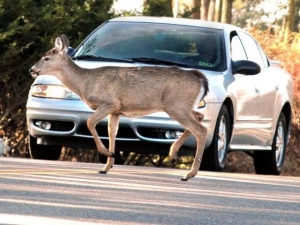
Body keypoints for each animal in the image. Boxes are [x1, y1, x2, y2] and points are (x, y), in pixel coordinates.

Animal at [29, 34, 209, 180]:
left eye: (46, 58)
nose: (32, 70)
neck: (85, 83)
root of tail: (200, 78)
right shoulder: (116, 111)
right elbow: (112, 132)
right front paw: (106, 166)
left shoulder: (110, 103)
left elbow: (90, 122)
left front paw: (107, 153)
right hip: (183, 106)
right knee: (199, 118)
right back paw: (173, 154)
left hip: (175, 105)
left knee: (201, 129)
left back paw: (189, 174)